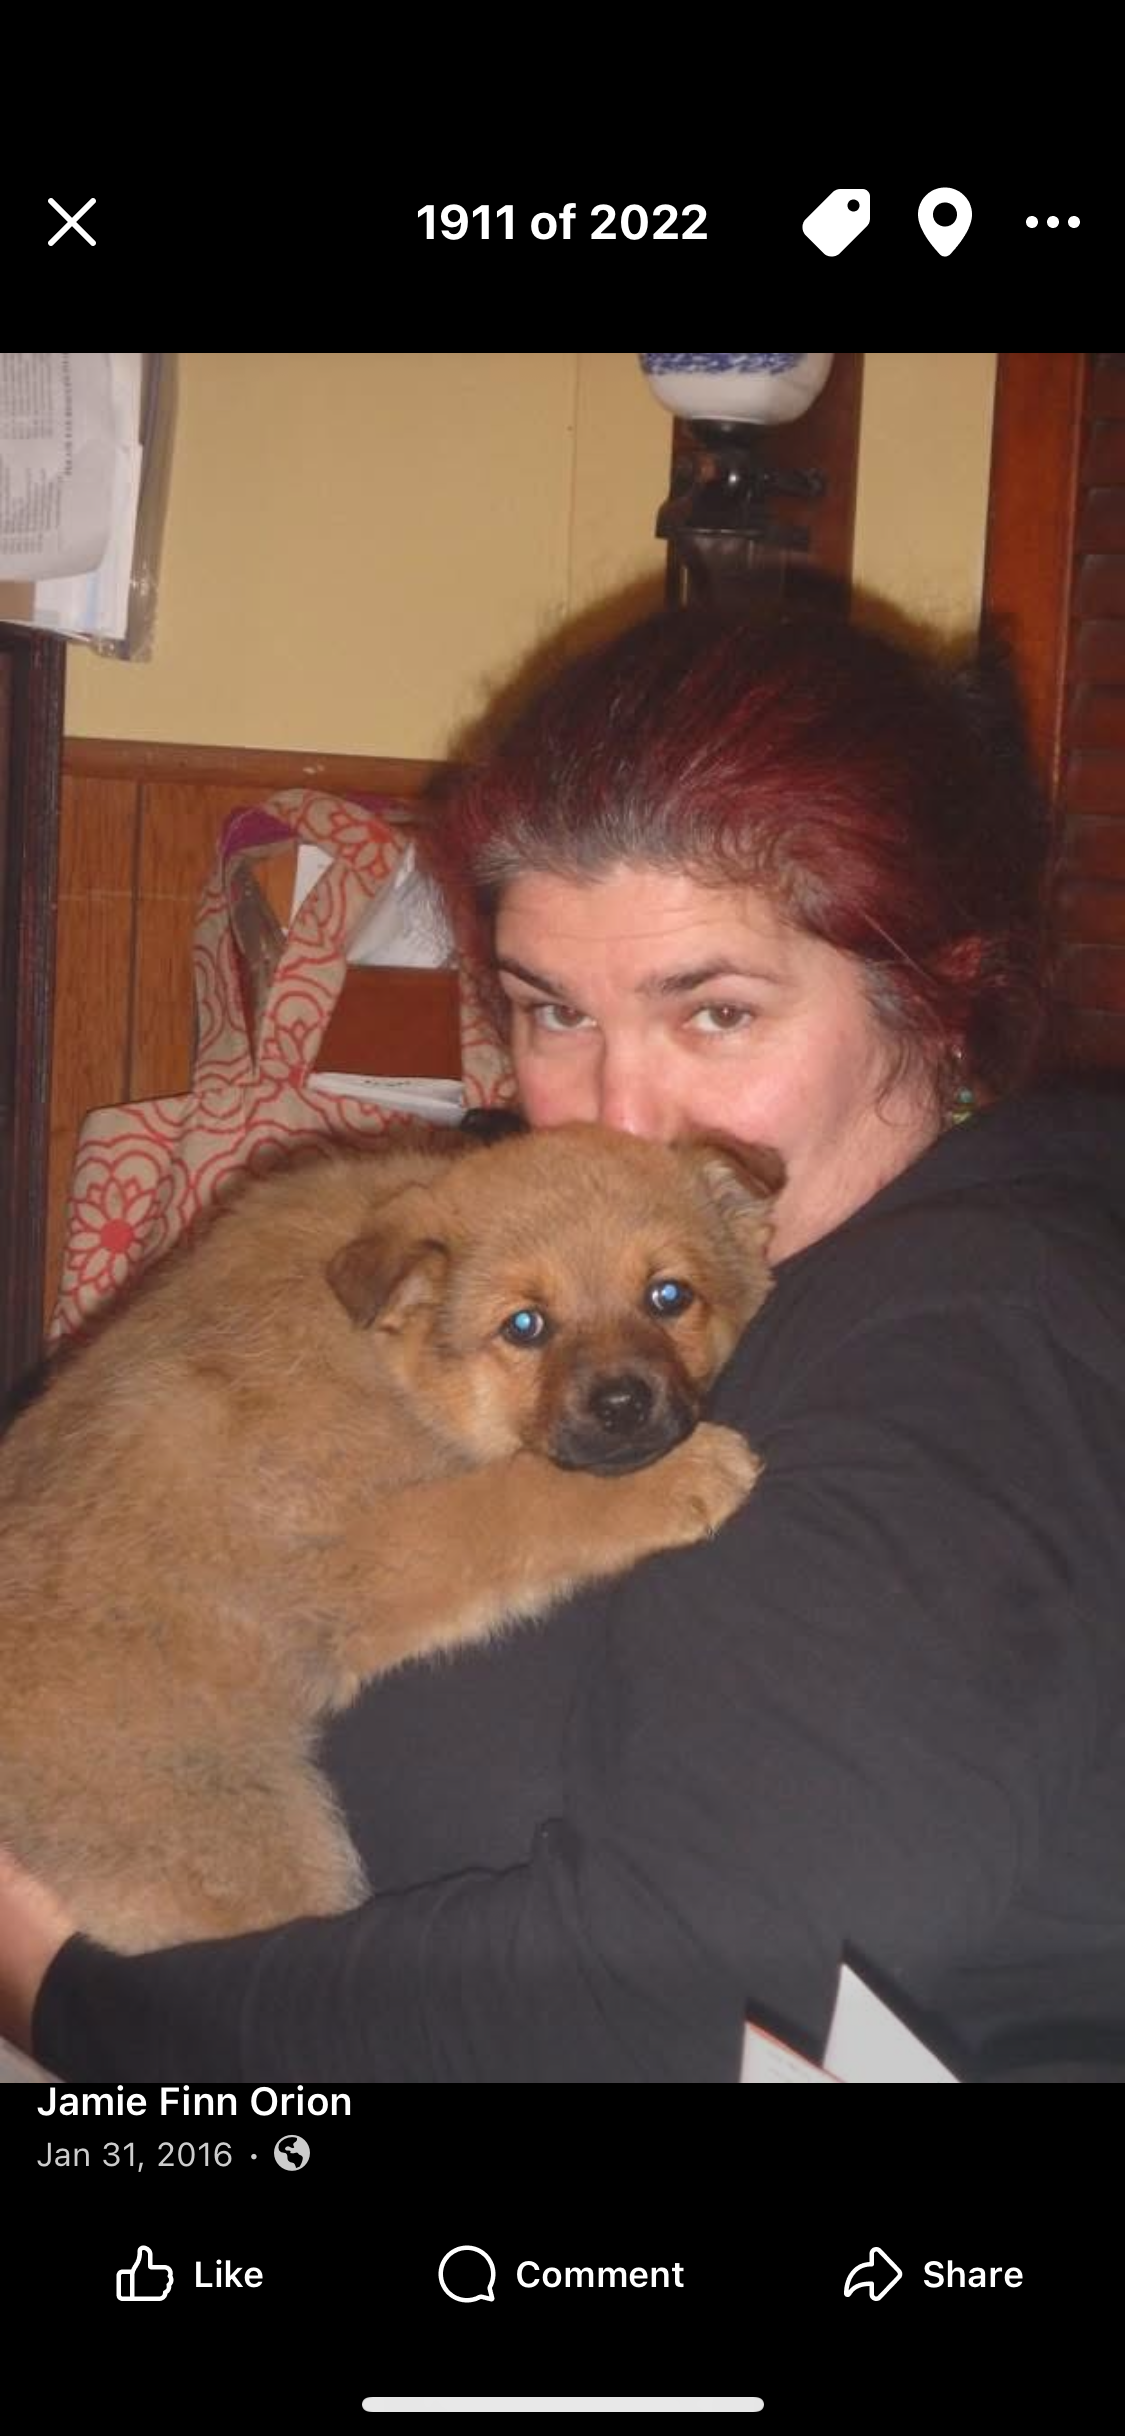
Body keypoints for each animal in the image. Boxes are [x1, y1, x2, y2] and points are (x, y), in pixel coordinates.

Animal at [0, 1121, 781, 1952]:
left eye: (669, 1296)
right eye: (525, 1325)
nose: (624, 1405)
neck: (382, 1360)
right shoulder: (348, 1558)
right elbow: (514, 1504)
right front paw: (680, 1477)